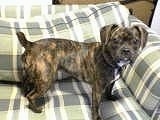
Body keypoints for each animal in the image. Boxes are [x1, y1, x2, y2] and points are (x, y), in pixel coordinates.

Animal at [16, 23, 148, 119]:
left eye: (135, 41)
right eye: (115, 40)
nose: (126, 50)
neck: (108, 56)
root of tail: (31, 44)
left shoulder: (111, 81)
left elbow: (110, 88)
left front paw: (110, 97)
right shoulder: (97, 89)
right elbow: (96, 106)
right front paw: (97, 117)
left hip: (31, 74)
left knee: (26, 85)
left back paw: (26, 92)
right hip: (46, 80)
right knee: (31, 96)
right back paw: (36, 109)